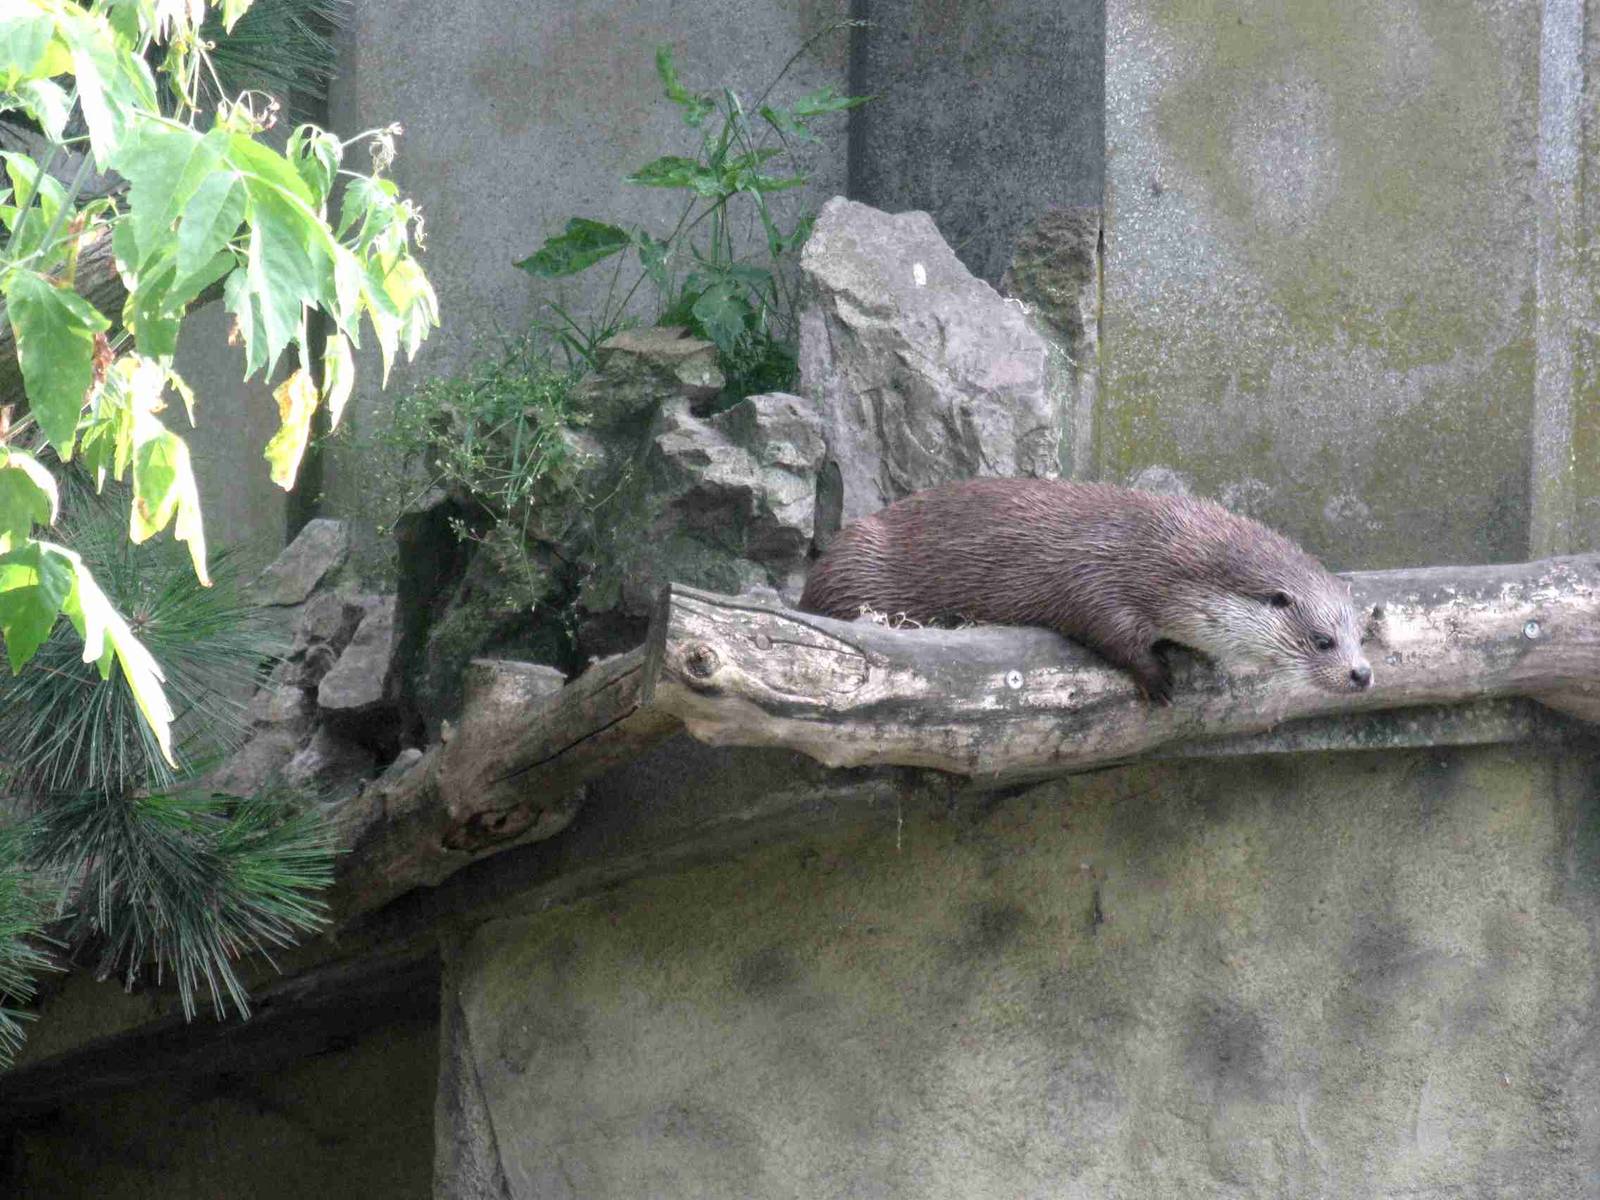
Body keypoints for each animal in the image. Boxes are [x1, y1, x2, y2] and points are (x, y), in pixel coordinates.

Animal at [798, 478, 1372, 704]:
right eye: (1323, 640)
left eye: (1359, 636)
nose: (1363, 674)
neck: (1160, 554)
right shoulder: (1098, 578)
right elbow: (1109, 631)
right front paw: (1157, 679)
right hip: (857, 567)